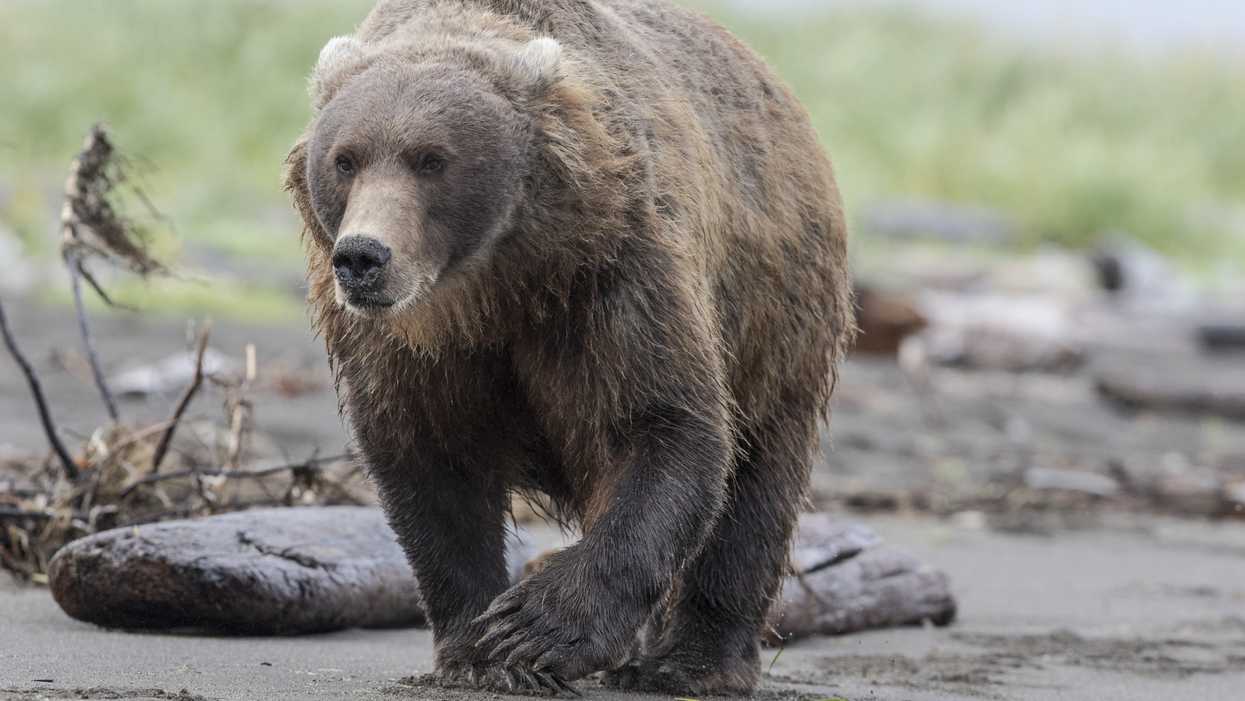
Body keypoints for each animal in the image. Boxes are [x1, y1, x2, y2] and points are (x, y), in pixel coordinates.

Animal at [284, 0, 853, 694]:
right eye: (346, 158)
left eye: (432, 158)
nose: (363, 256)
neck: (491, 292)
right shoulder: (402, 350)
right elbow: (428, 465)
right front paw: (476, 649)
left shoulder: (612, 280)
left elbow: (661, 424)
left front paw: (536, 629)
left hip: (777, 318)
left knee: (758, 485)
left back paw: (693, 662)